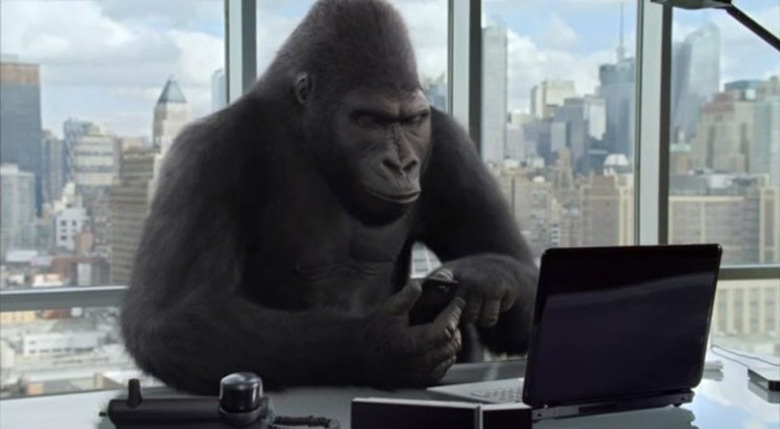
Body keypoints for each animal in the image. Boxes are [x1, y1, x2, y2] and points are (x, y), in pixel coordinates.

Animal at [120, 0, 538, 395]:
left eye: (411, 121)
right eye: (369, 120)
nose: (401, 164)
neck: (307, 136)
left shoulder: (449, 142)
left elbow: (523, 284)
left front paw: (488, 278)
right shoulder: (207, 152)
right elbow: (171, 318)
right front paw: (381, 345)